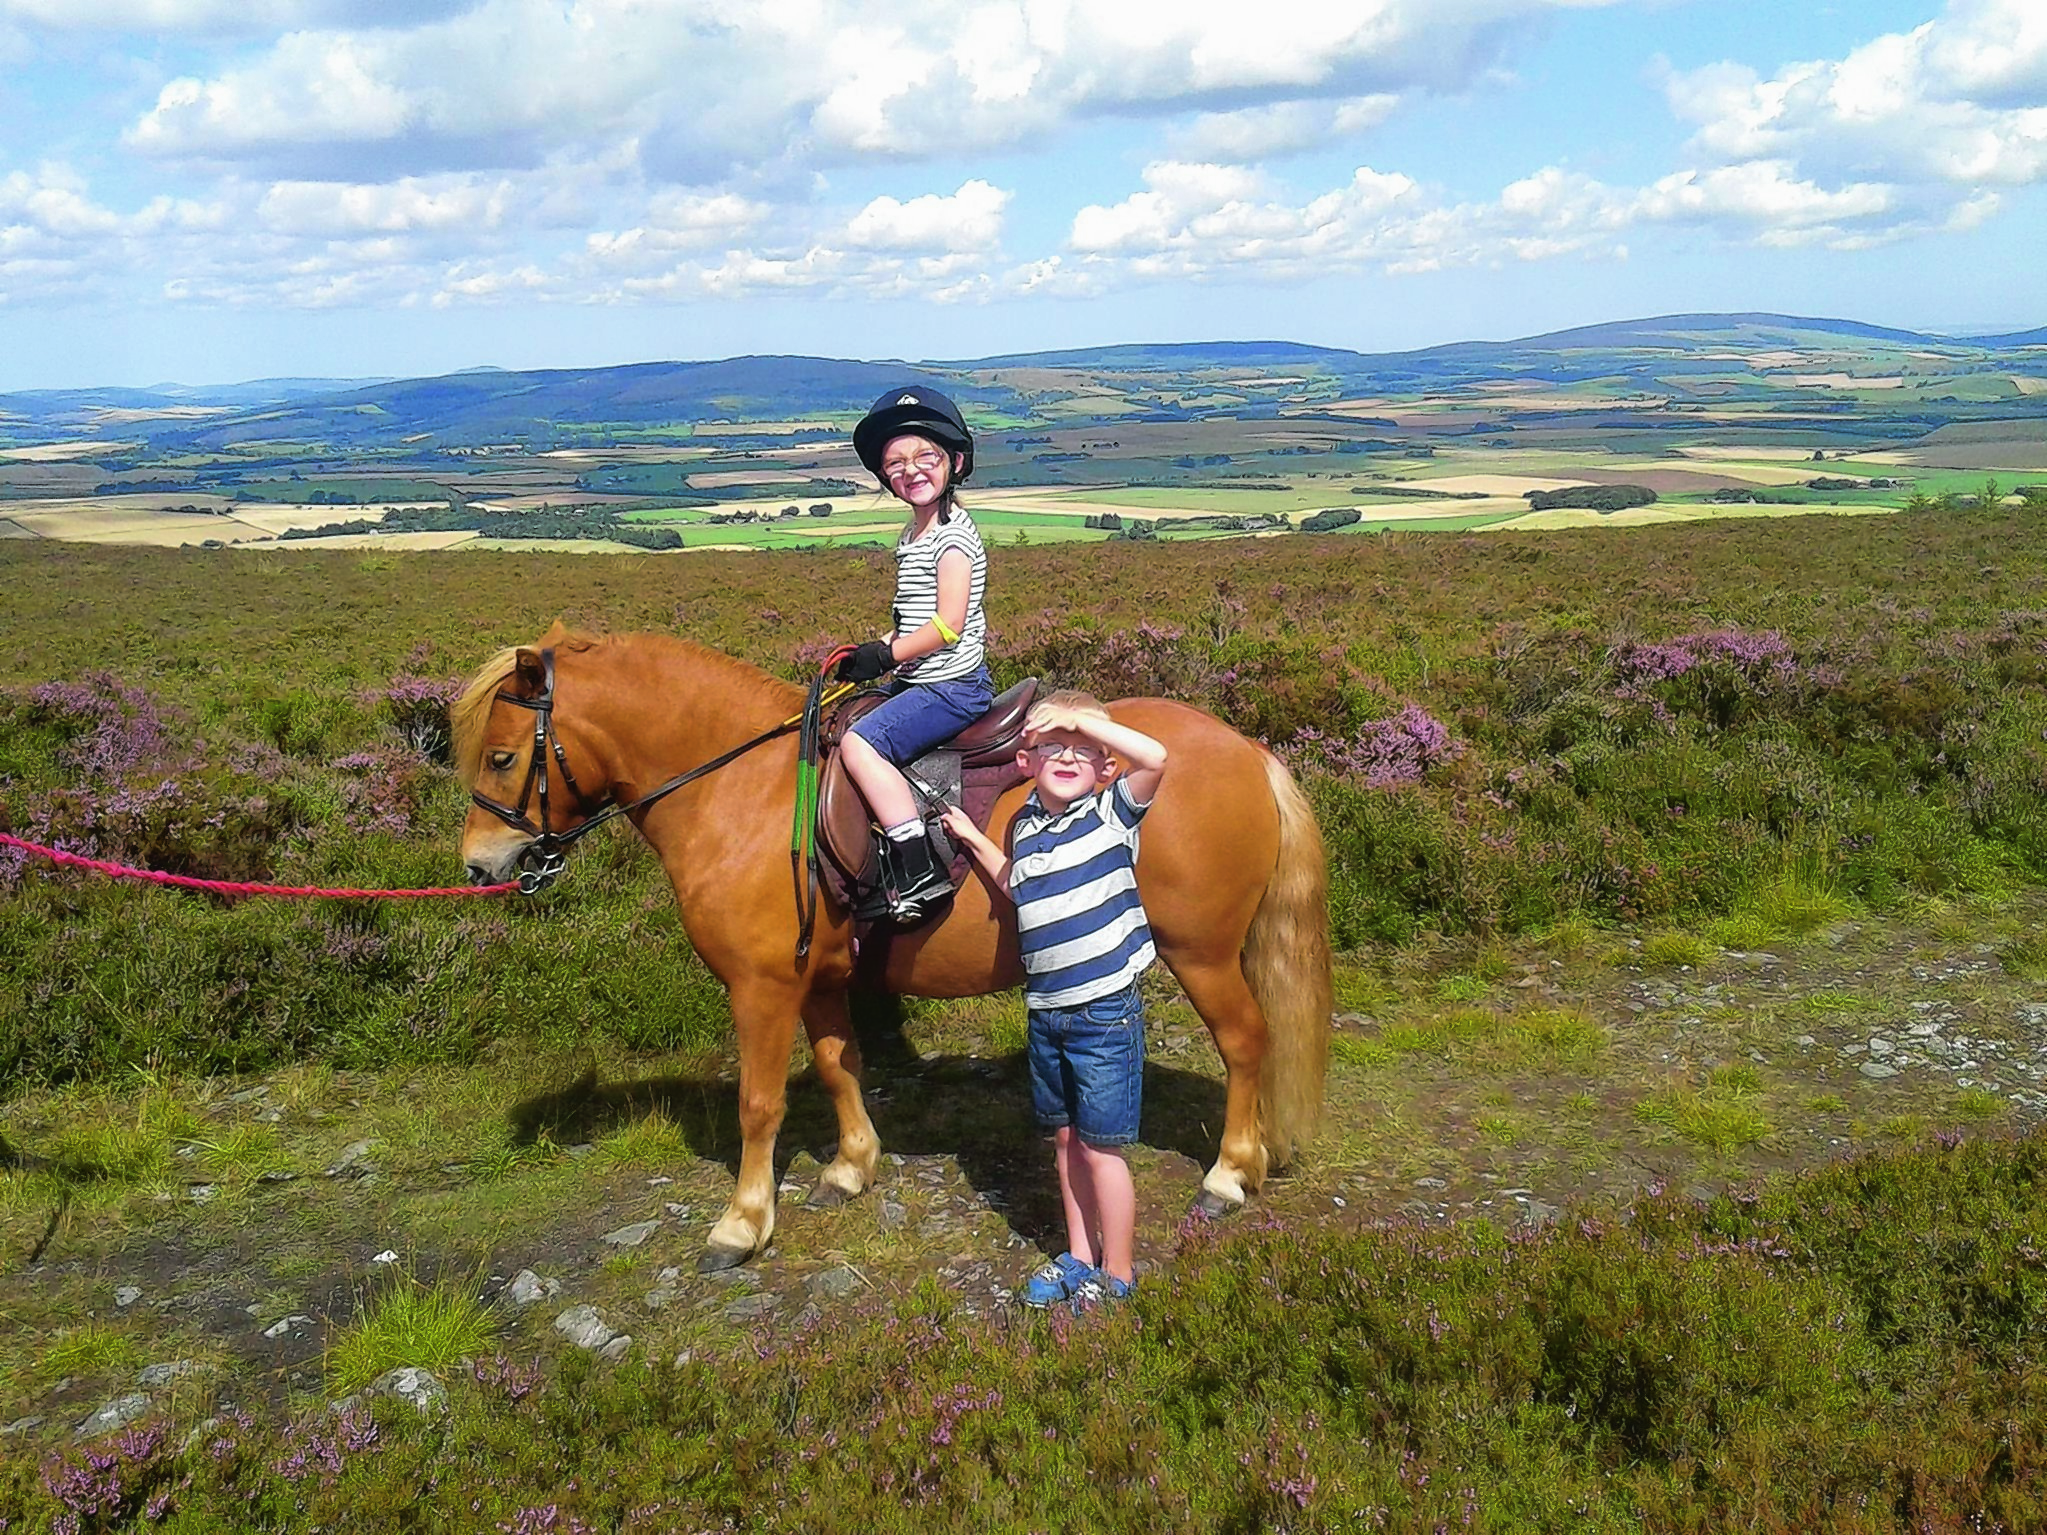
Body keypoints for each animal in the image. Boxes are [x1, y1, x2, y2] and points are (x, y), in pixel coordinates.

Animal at [456, 626, 1334, 1277]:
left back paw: (1229, 1174)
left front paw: (741, 1224)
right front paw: (850, 1166)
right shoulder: (816, 981)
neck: (744, 792)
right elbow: (840, 1065)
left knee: (1245, 1042)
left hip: (1203, 952)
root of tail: (1243, 748)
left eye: (502, 756)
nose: (479, 865)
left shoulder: (759, 987)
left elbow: (758, 1104)